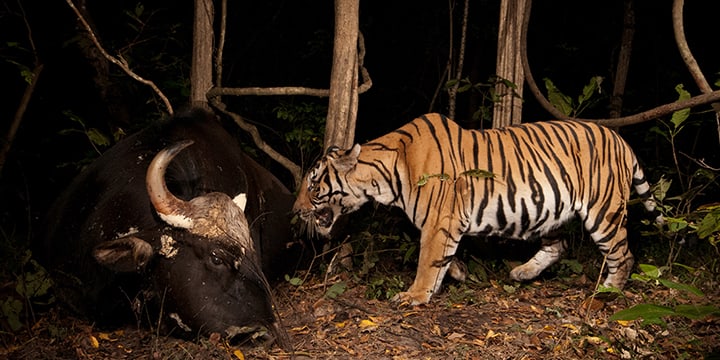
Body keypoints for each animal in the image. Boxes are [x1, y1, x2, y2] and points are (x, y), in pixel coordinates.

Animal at [292, 112, 664, 304]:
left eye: (313, 184)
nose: (295, 211)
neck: (383, 178)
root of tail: (621, 140)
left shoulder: (440, 219)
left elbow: (427, 259)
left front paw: (414, 295)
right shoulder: (445, 224)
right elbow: (441, 257)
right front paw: (455, 273)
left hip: (604, 212)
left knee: (623, 255)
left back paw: (607, 292)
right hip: (552, 212)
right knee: (559, 245)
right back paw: (522, 272)